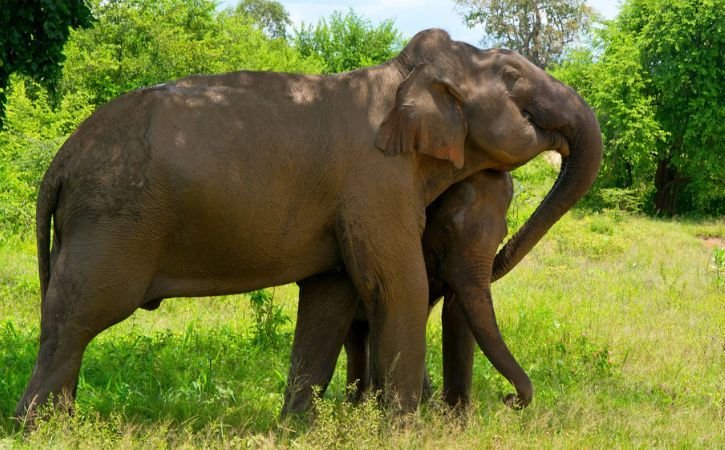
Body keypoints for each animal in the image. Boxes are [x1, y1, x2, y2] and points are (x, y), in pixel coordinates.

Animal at [282, 170, 530, 415]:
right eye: (447, 230)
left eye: (502, 234)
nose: (509, 398)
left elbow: (454, 314)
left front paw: (450, 418)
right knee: (356, 336)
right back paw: (357, 406)